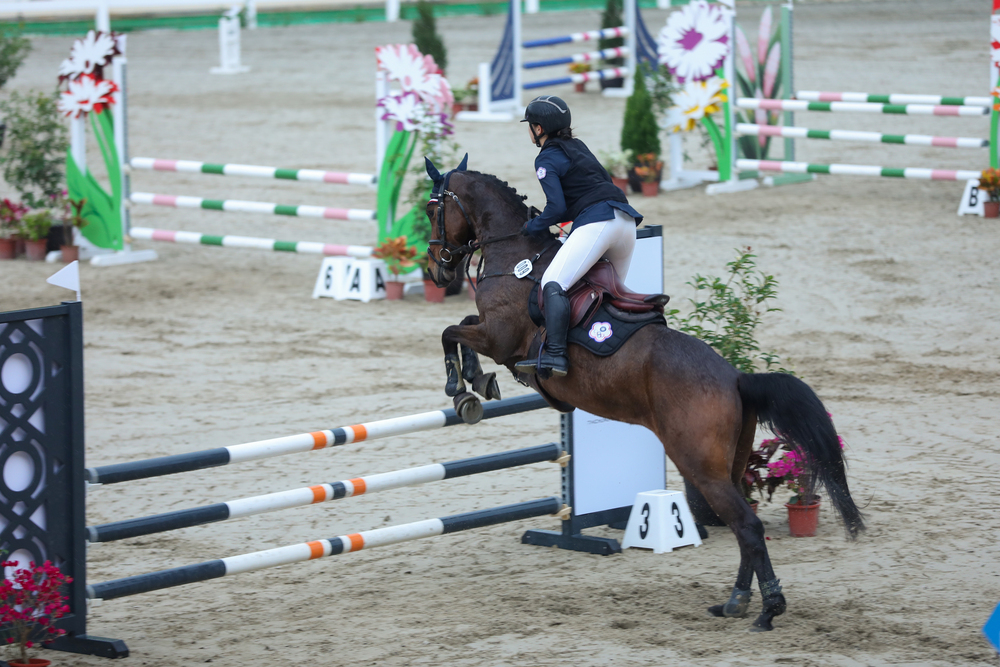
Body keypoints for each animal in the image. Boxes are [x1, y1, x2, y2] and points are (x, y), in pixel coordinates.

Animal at [422, 159, 865, 631]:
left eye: (432, 210)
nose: (437, 271)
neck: (515, 256)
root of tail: (735, 378)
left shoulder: (500, 338)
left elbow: (450, 332)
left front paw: (462, 388)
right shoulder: (491, 334)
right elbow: (460, 327)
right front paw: (478, 382)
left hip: (699, 465)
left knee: (746, 525)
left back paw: (765, 608)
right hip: (729, 464)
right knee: (745, 524)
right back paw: (736, 601)